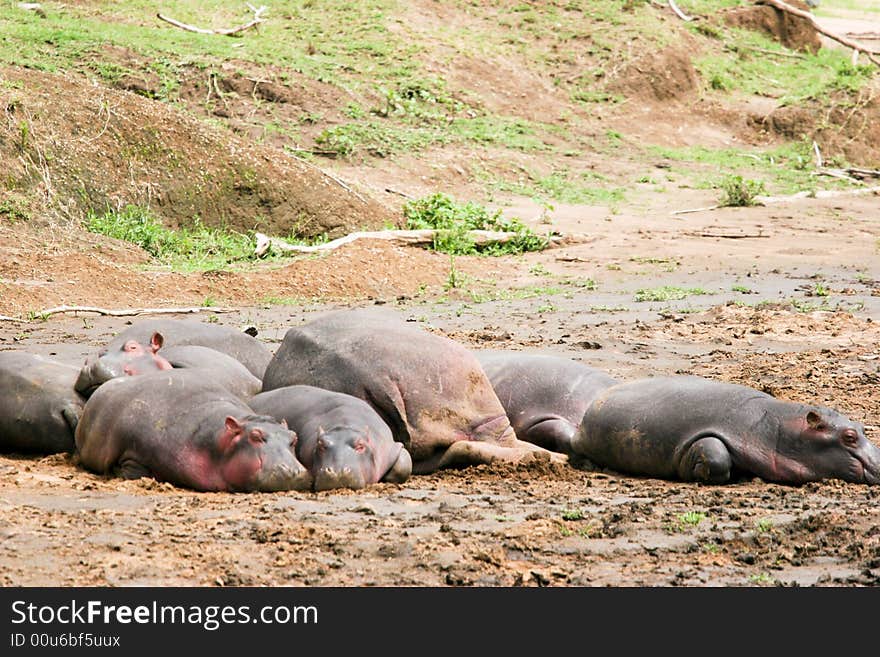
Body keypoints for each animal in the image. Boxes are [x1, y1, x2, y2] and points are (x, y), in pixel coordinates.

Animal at [75, 368, 312, 492]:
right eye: (255, 436)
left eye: (293, 438)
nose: (293, 471)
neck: (219, 441)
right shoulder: (134, 452)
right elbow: (132, 468)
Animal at [249, 384, 410, 486]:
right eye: (321, 444)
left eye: (360, 445)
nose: (337, 472)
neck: (345, 425)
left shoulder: (389, 446)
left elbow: (404, 463)